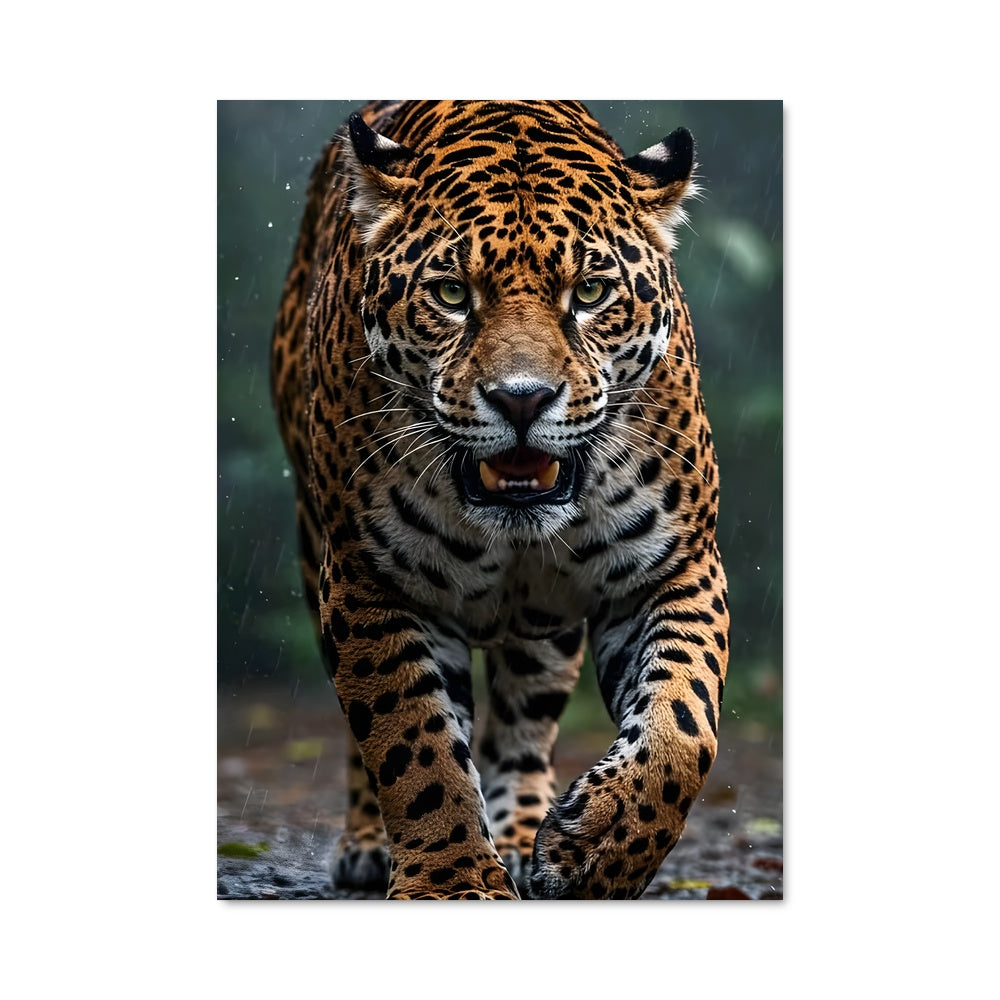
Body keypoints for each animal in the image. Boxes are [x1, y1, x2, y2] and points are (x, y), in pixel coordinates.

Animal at [271, 100, 729, 899]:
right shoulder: (367, 580)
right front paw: (451, 882)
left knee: (526, 717)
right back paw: (370, 845)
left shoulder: (677, 567)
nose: (523, 399)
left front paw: (595, 853)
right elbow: (412, 742)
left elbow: (683, 726)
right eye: (453, 295)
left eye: (590, 294)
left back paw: (523, 834)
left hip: (546, 624)